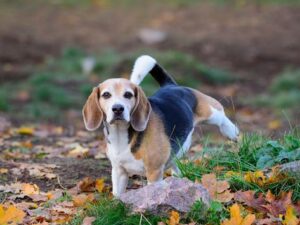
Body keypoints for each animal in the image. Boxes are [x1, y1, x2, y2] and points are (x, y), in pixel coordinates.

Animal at [82, 55, 239, 197]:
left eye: (128, 94)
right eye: (106, 95)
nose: (118, 109)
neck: (121, 134)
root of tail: (171, 86)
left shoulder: (154, 172)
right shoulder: (119, 172)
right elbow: (118, 195)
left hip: (211, 111)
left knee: (221, 116)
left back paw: (232, 132)